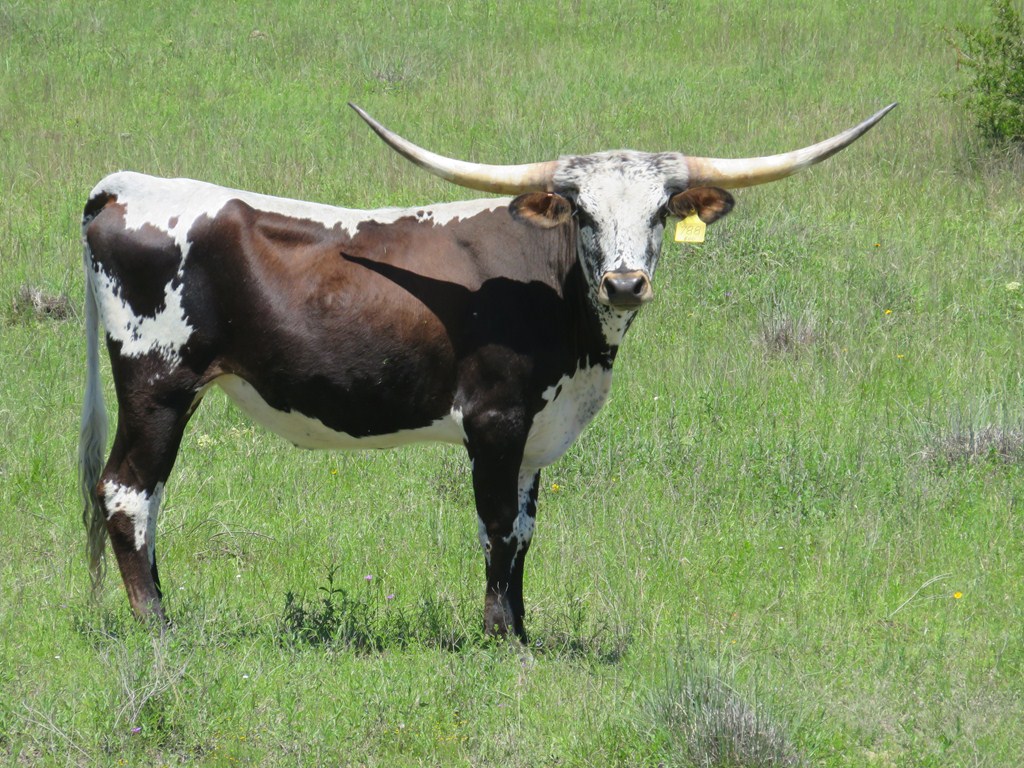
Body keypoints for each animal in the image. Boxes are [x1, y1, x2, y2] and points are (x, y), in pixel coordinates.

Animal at [79, 102, 895, 640]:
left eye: (662, 212)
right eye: (582, 213)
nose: (625, 283)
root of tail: (121, 186)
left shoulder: (537, 433)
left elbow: (528, 530)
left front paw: (524, 630)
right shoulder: (496, 419)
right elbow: (498, 526)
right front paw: (501, 639)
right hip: (157, 383)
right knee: (128, 493)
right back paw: (160, 629)